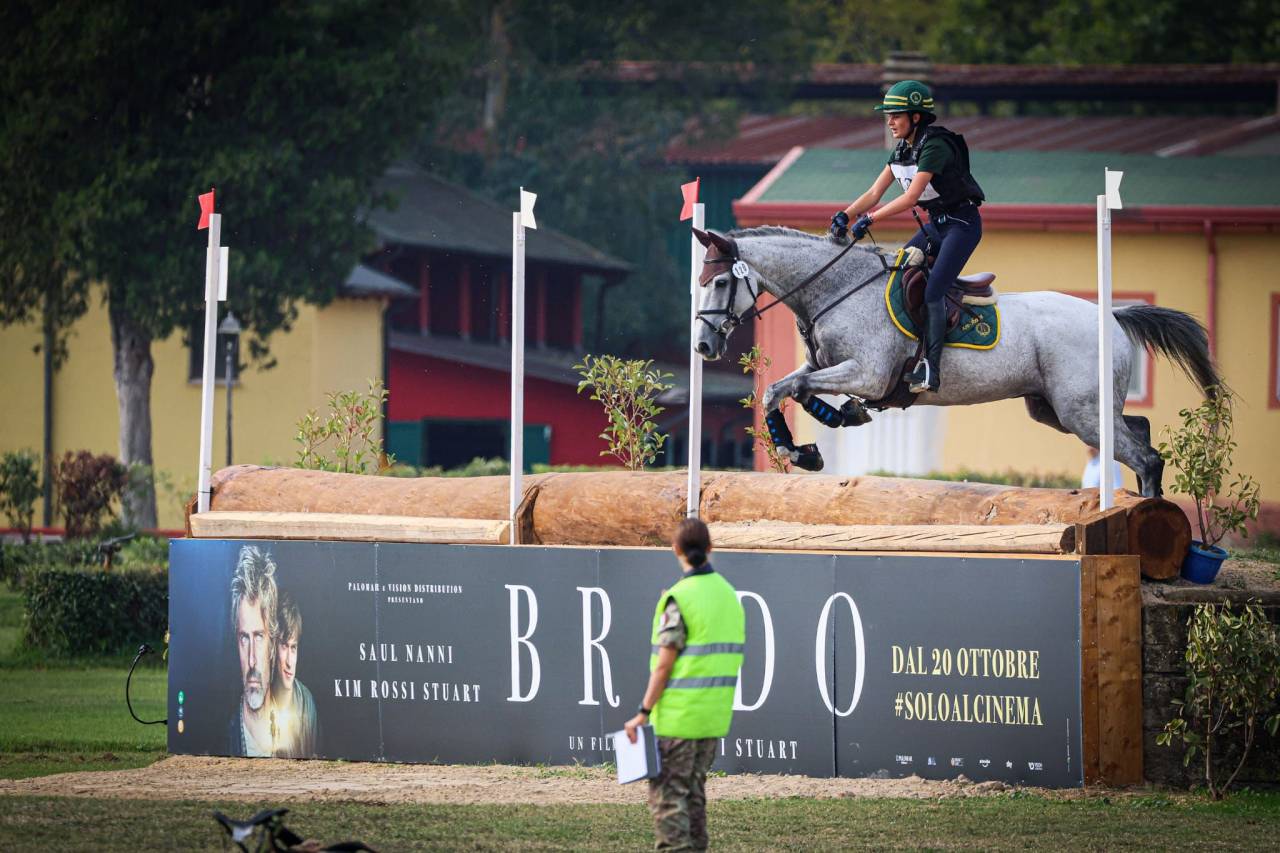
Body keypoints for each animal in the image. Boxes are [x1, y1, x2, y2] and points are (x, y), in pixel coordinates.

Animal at [691, 226, 1220, 498]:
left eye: (720, 283)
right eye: (700, 282)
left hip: (1079, 412)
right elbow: (779, 389)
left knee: (1145, 455)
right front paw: (807, 448)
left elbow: (799, 390)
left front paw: (817, 438)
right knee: (1138, 430)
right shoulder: (825, 366)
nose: (702, 347)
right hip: (1057, 409)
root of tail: (1112, 314)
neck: (836, 288)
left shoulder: (868, 373)